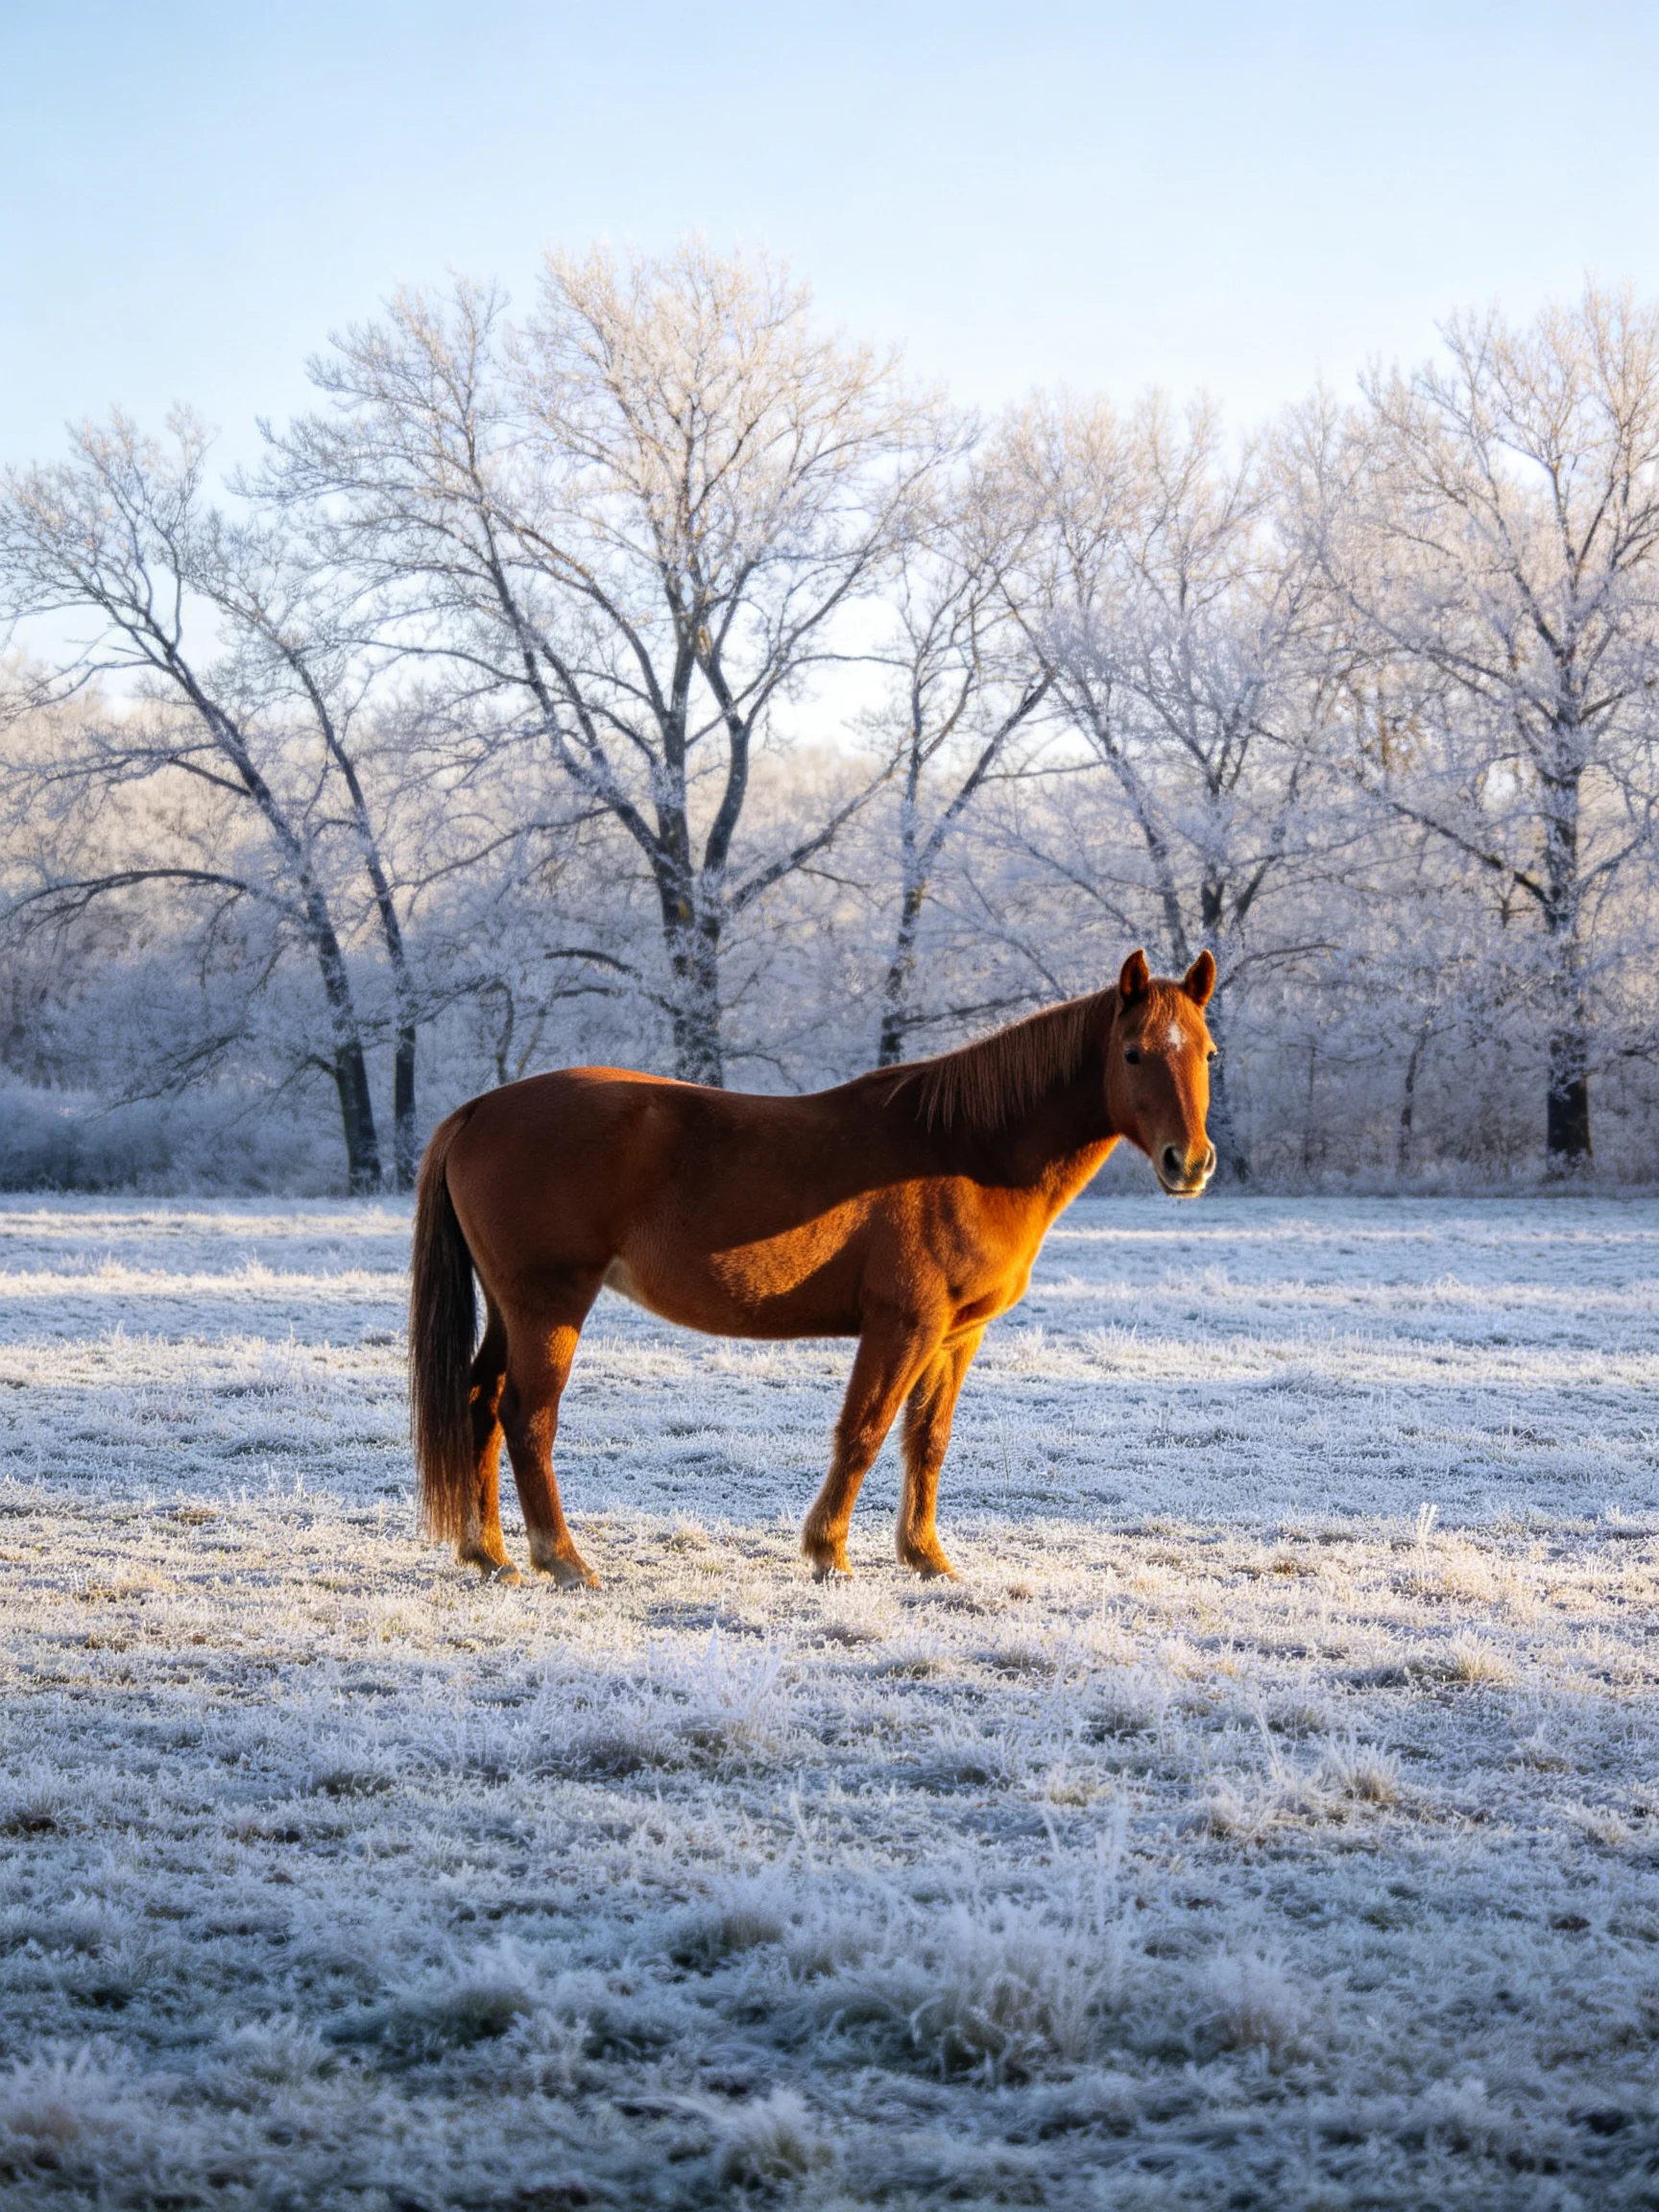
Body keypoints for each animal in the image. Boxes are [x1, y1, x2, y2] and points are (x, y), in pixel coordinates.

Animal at [408, 947, 1217, 1588]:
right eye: (1134, 1053)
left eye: (1207, 1052)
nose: (1190, 1162)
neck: (967, 1150)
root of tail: (479, 1109)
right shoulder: (902, 1325)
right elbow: (864, 1430)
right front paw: (829, 1552)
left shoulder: (956, 1335)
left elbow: (926, 1441)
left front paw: (927, 1558)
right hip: (550, 1307)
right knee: (527, 1418)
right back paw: (564, 1561)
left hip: (513, 1308)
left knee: (480, 1402)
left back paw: (490, 1556)